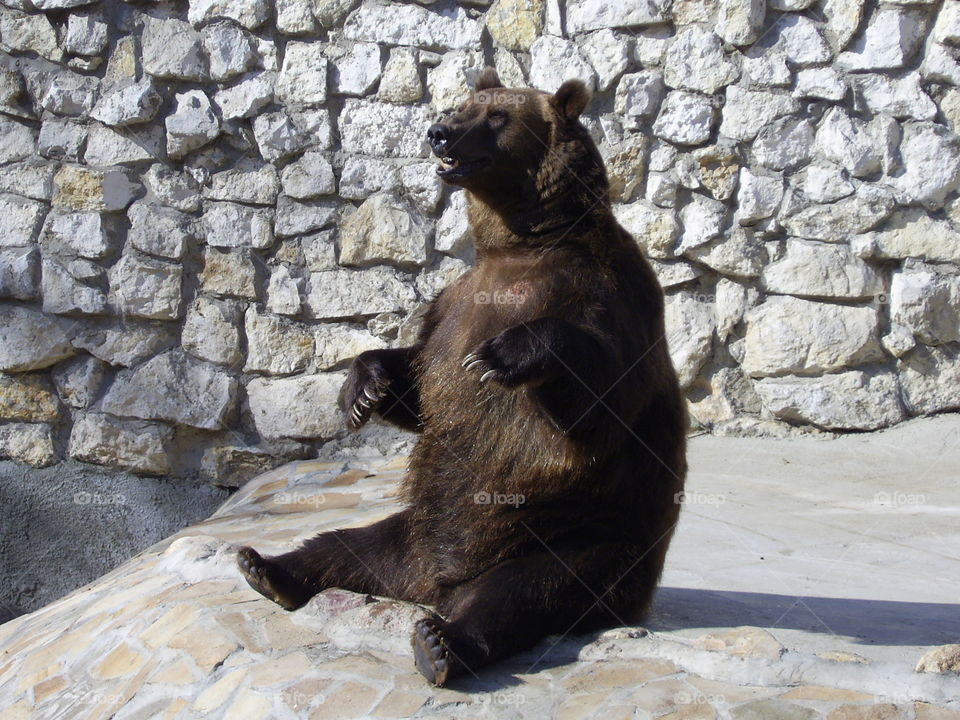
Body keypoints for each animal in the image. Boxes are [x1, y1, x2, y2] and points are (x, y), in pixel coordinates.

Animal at [237, 68, 688, 687]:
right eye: (459, 106)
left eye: (497, 117)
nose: (439, 133)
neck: (524, 243)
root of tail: (435, 583)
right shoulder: (453, 303)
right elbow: (422, 376)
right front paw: (364, 389)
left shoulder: (610, 291)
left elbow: (602, 399)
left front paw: (501, 356)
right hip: (411, 533)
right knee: (345, 546)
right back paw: (265, 566)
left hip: (579, 537)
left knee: (525, 591)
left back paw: (441, 642)